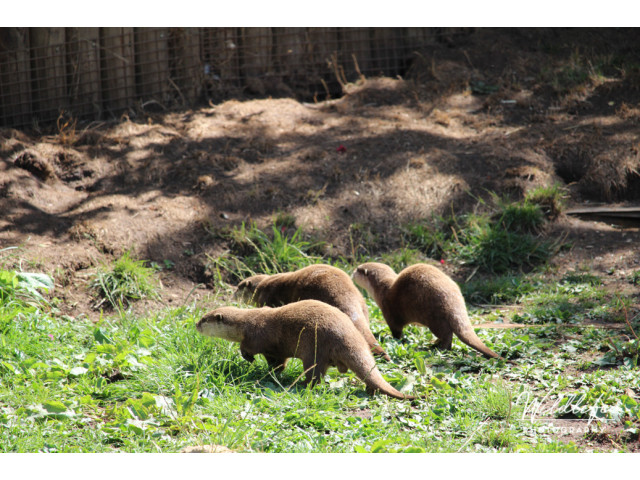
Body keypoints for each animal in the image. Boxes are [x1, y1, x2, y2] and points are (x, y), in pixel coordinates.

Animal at [196, 300, 414, 400]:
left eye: (204, 318)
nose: (196, 325)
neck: (246, 322)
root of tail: (346, 334)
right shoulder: (275, 351)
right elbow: (278, 362)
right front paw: (272, 373)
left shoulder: (257, 336)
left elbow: (249, 348)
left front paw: (249, 359)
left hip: (313, 350)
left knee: (314, 376)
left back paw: (300, 386)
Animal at [353, 262, 501, 359]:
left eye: (359, 268)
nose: (352, 271)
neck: (382, 289)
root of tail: (453, 302)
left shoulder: (389, 311)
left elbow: (396, 331)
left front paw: (392, 339)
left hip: (434, 317)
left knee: (447, 336)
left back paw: (438, 348)